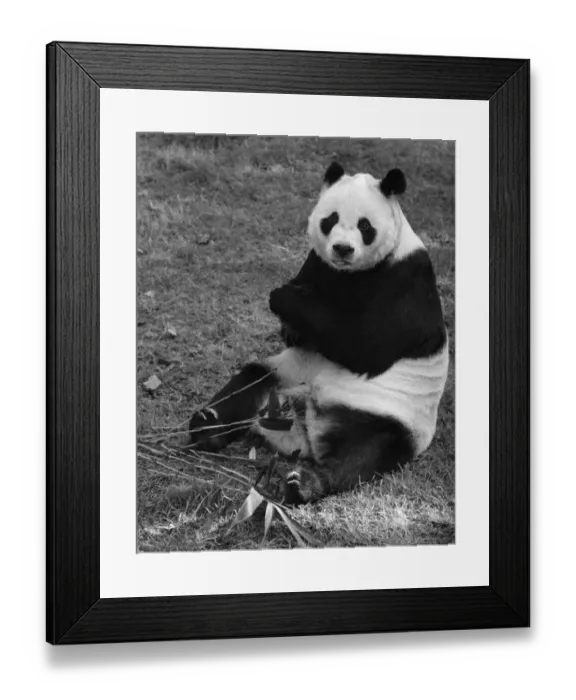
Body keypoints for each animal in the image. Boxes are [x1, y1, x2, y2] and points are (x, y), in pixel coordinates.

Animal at [188, 161, 449, 505]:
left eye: (365, 225)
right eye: (331, 219)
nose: (342, 249)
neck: (350, 273)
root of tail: (305, 430)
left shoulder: (404, 279)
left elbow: (366, 345)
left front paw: (283, 297)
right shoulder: (318, 265)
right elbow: (302, 329)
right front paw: (291, 318)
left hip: (389, 413)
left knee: (366, 451)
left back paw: (304, 483)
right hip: (288, 372)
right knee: (251, 381)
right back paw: (207, 427)